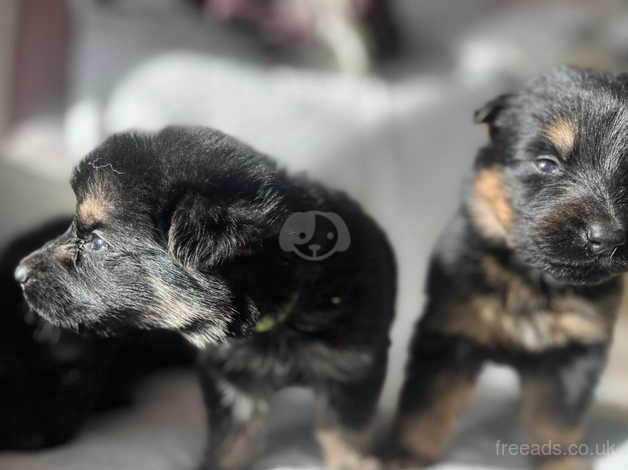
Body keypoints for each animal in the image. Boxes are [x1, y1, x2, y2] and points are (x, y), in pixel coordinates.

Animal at [14, 126, 394, 468]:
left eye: (95, 242)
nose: (18, 274)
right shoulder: (230, 383)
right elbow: (230, 446)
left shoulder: (353, 368)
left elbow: (344, 436)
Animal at [392, 66, 628, 470]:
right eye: (546, 164)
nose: (607, 238)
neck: (532, 280)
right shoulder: (449, 333)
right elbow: (427, 408)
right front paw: (402, 457)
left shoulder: (576, 350)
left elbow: (556, 420)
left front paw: (562, 462)